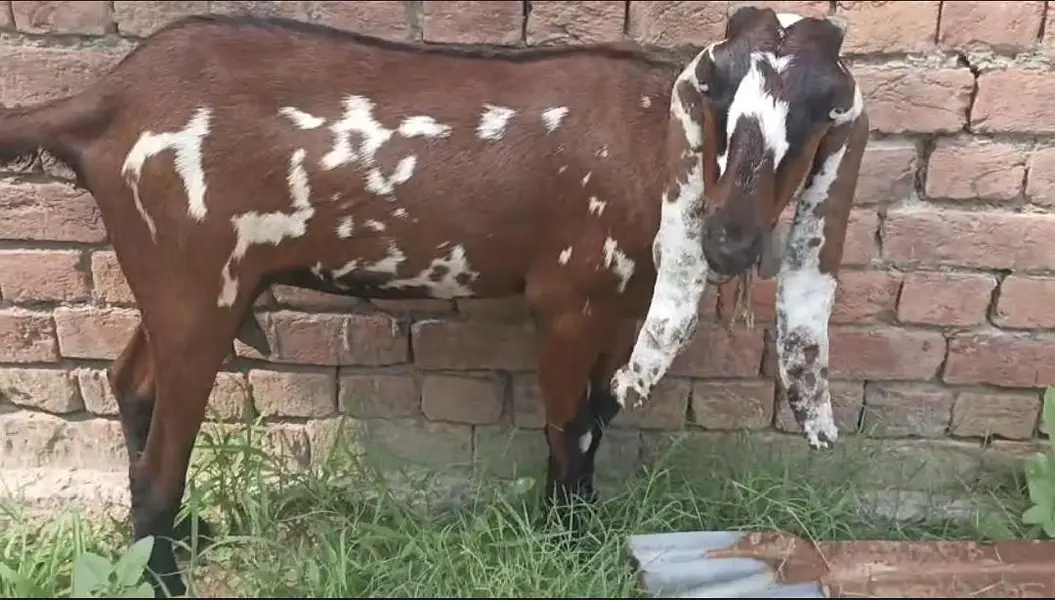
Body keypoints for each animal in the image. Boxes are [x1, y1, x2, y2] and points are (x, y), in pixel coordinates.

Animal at [0, 5, 867, 596]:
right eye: (713, 88)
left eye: (824, 104)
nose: (729, 240)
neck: (646, 143)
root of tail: (107, 99)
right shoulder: (565, 301)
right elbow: (566, 428)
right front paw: (563, 547)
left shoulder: (623, 310)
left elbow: (594, 424)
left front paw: (581, 535)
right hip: (192, 285)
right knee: (160, 457)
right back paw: (165, 572)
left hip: (191, 286)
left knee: (130, 385)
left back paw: (181, 538)